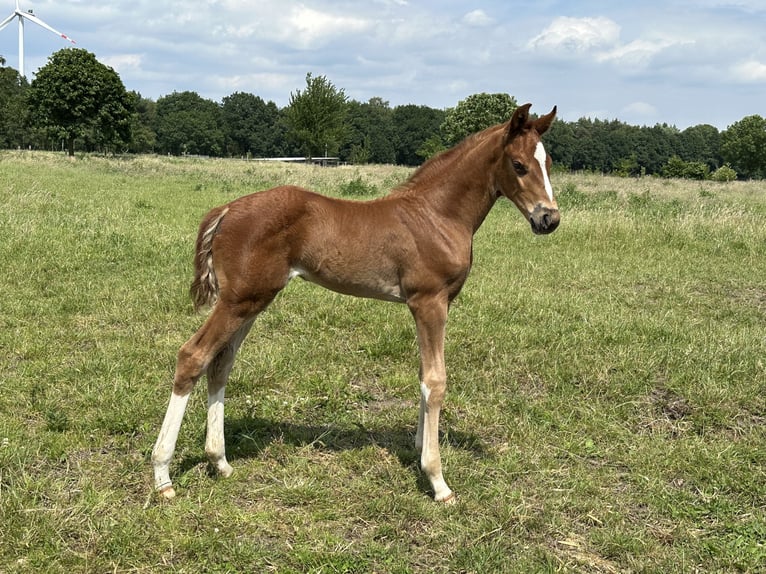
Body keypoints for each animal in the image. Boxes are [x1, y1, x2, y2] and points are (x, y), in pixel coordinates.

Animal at [153, 102, 560, 504]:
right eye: (519, 164)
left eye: (550, 162)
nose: (549, 218)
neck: (437, 215)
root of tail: (226, 210)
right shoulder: (430, 302)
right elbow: (436, 380)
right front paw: (437, 480)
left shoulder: (425, 306)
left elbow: (423, 377)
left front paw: (417, 448)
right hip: (239, 300)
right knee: (193, 356)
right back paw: (162, 475)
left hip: (252, 300)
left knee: (221, 363)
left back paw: (219, 462)